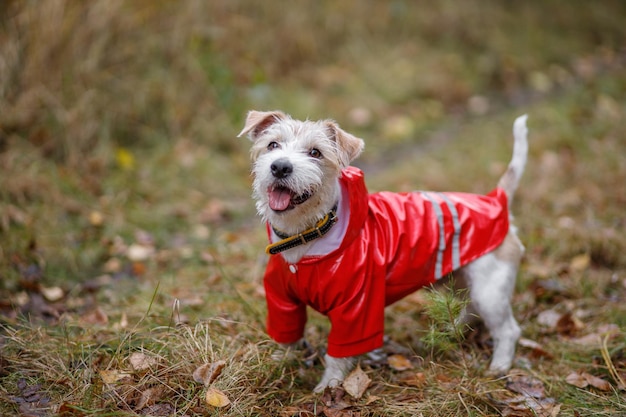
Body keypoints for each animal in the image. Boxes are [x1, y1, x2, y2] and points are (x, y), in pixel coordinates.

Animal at [238, 109, 528, 390]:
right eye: (272, 145)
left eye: (315, 152)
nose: (280, 166)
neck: (307, 235)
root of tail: (496, 200)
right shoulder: (282, 302)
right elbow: (286, 338)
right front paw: (277, 365)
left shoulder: (357, 310)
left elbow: (338, 356)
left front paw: (328, 387)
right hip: (460, 278)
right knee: (470, 310)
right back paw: (452, 329)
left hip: (490, 290)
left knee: (508, 330)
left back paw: (499, 366)